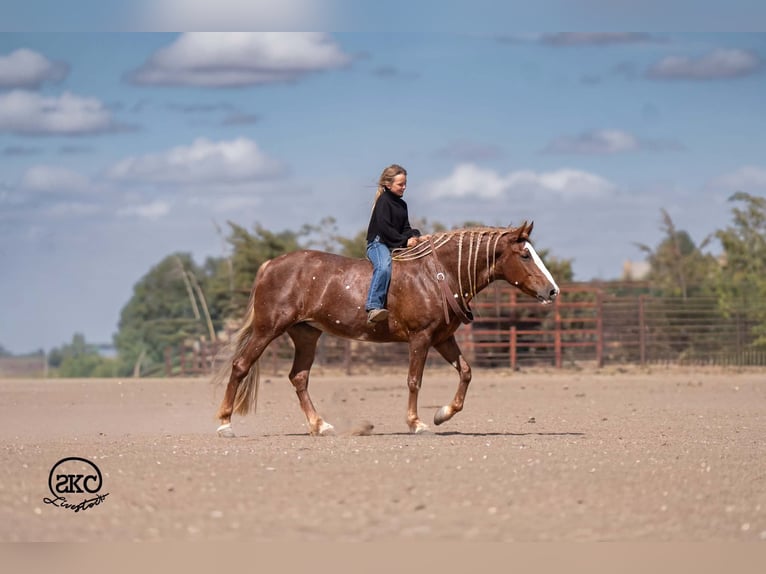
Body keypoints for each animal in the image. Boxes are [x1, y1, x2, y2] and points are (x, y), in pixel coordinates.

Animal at [212, 221, 559, 437]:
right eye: (525, 255)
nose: (553, 290)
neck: (439, 275)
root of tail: (269, 265)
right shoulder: (420, 338)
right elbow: (414, 381)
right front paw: (416, 423)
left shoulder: (443, 338)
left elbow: (466, 372)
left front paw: (442, 414)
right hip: (268, 328)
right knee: (241, 366)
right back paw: (225, 424)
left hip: (306, 334)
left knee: (299, 377)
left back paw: (320, 425)